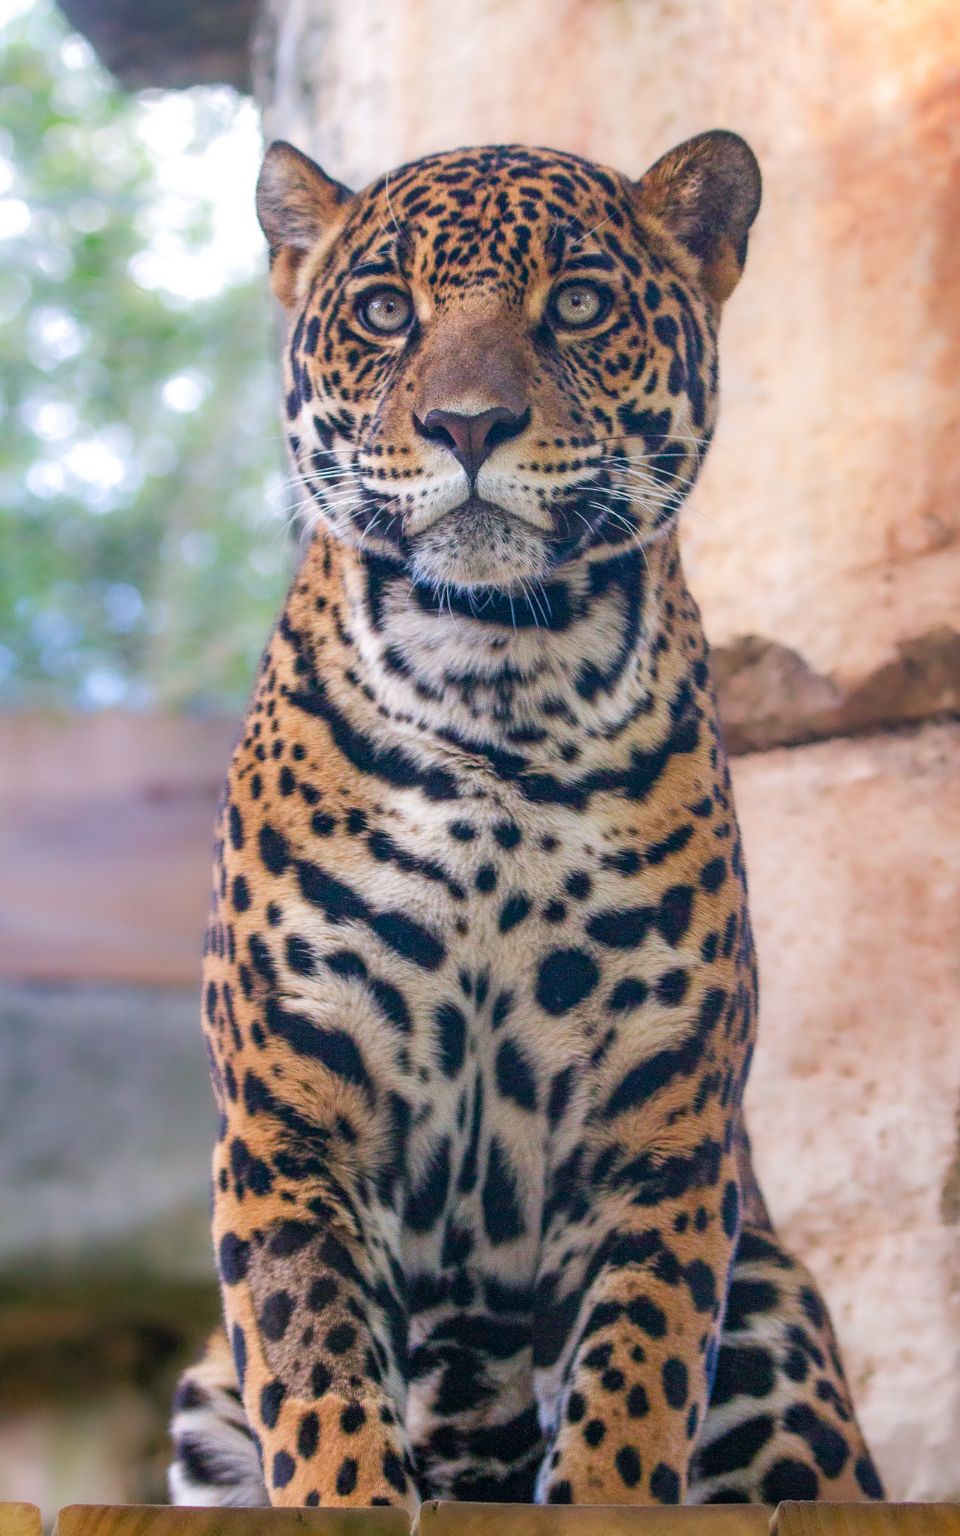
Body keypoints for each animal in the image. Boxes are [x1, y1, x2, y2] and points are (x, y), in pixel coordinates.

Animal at [168, 130, 885, 1512]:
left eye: (581, 304)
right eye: (385, 312)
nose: (468, 424)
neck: (497, 674)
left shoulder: (657, 1130)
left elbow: (635, 1383)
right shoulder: (294, 1113)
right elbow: (315, 1376)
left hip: (775, 1314)